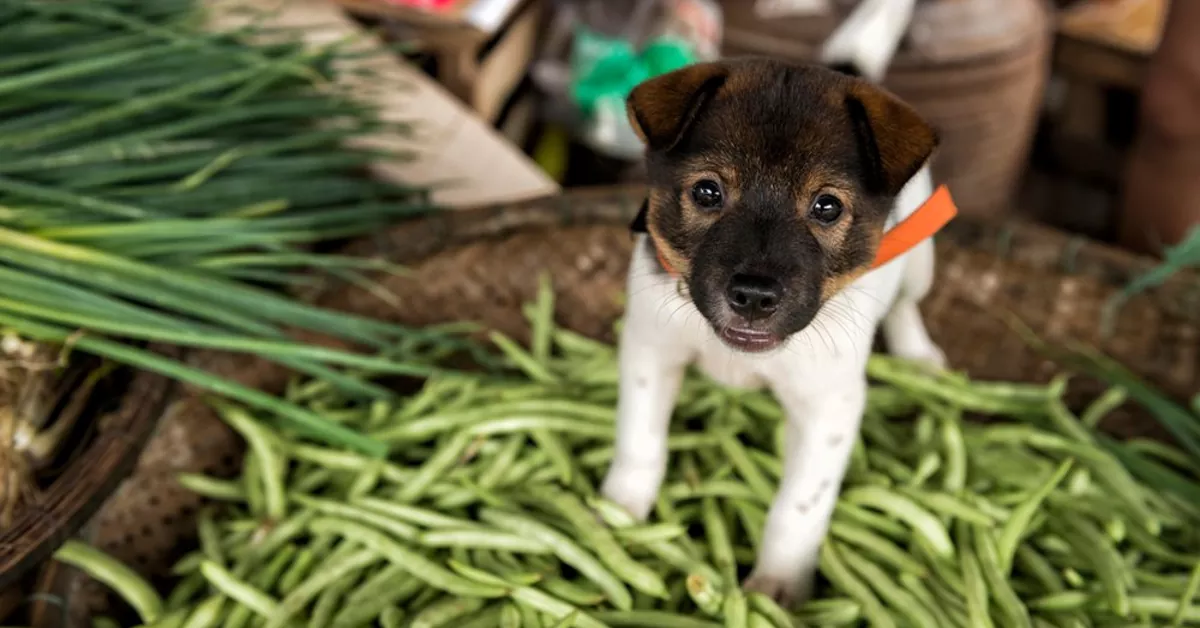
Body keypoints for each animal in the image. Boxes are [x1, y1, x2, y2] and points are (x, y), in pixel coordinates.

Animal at [595, 56, 950, 607]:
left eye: (827, 207)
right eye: (707, 192)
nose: (755, 297)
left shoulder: (829, 408)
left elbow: (799, 506)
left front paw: (779, 582)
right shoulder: (650, 351)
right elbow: (640, 443)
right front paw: (621, 513)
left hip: (921, 262)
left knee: (907, 305)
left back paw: (919, 356)